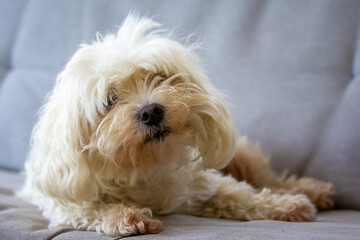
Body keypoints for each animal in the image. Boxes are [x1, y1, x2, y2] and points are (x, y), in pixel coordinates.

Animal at [19, 15, 334, 237]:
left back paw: (311, 191)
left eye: (158, 77)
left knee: (268, 177)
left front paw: (287, 205)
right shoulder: (63, 201)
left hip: (242, 157)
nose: (151, 112)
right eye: (110, 100)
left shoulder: (201, 185)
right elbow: (91, 209)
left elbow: (242, 195)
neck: (141, 169)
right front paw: (124, 216)